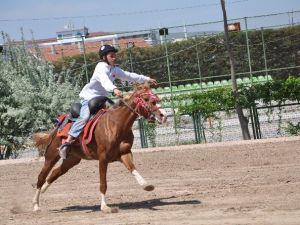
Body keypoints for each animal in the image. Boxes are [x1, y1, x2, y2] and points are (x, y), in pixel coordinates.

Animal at [31, 81, 168, 213]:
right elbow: (103, 183)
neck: (116, 124)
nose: (163, 115)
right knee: (41, 177)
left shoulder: (125, 153)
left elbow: (133, 168)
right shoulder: (103, 158)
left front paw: (146, 185)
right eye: (146, 98)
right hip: (51, 156)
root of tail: (59, 125)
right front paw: (105, 207)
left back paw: (43, 190)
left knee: (56, 172)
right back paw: (36, 205)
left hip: (72, 159)